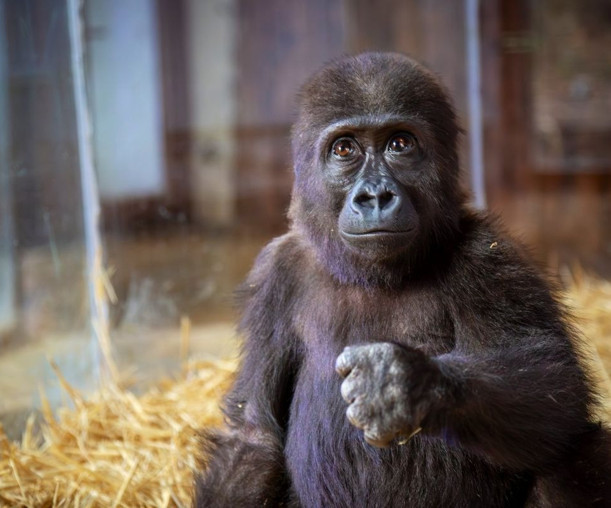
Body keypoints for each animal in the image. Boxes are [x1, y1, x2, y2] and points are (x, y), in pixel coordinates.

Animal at [196, 52, 611, 508]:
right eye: (344, 149)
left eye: (400, 144)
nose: (375, 196)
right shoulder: (274, 276)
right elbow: (253, 437)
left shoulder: (490, 256)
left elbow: (557, 391)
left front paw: (407, 383)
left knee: (571, 449)